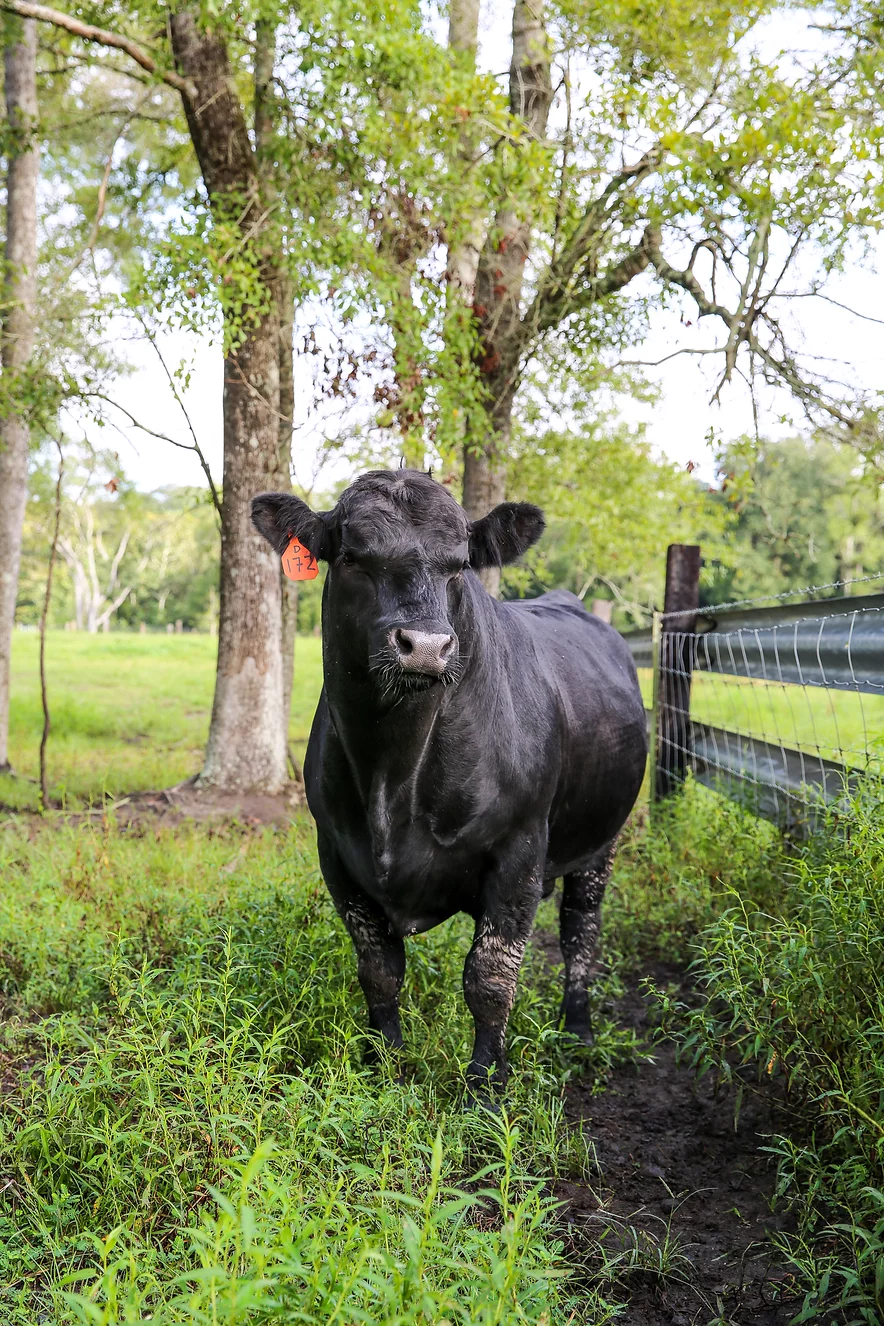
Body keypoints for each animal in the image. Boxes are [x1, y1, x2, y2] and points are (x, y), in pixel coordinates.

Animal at [251, 472, 646, 1092]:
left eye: (460, 564)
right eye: (352, 556)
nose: (427, 646)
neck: (394, 774)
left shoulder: (519, 850)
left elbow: (489, 977)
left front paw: (485, 1086)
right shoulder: (337, 855)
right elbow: (379, 970)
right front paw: (384, 1063)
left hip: (600, 841)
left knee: (580, 931)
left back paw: (577, 1030)